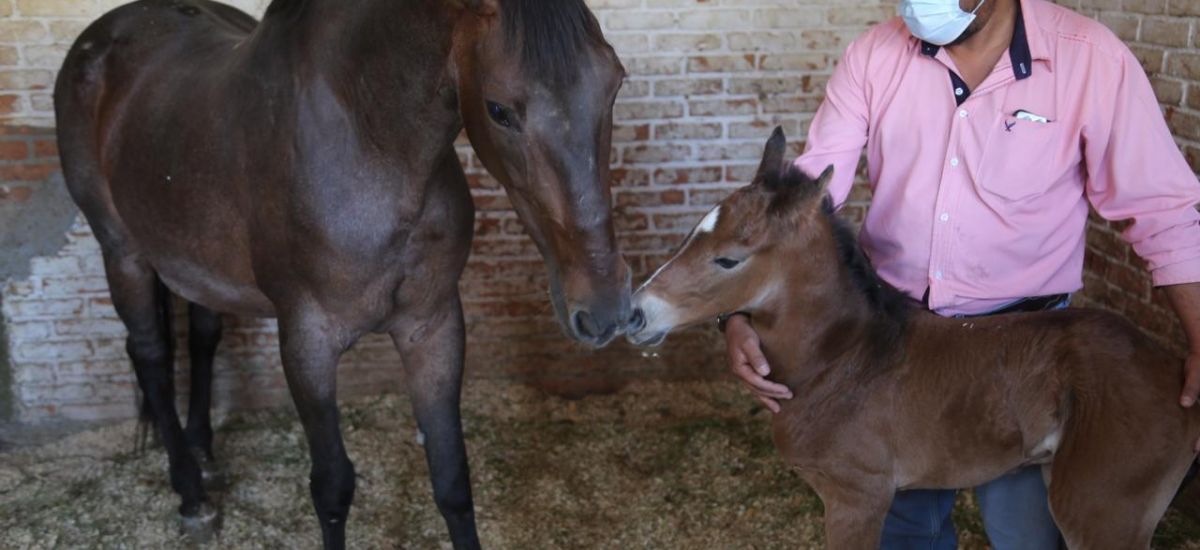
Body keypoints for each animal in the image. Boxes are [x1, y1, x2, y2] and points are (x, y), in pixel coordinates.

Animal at [51, 1, 633, 545]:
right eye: (498, 109)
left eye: (615, 82)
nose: (605, 308)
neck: (372, 144)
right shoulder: (307, 342)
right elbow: (332, 487)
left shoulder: (433, 326)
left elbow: (452, 477)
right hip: (121, 250)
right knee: (149, 354)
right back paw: (192, 496)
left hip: (195, 263)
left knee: (202, 338)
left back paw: (205, 456)